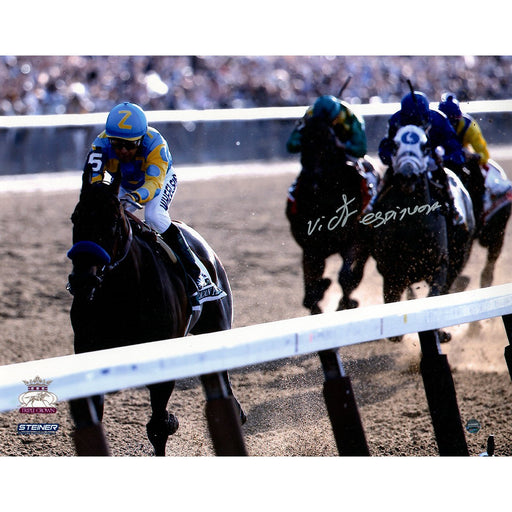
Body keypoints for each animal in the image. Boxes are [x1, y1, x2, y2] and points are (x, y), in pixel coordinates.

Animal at [66, 171, 246, 456]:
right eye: (75, 218)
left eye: (113, 220)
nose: (83, 280)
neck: (122, 294)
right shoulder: (88, 350)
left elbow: (159, 426)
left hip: (216, 324)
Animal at [286, 115, 378, 314]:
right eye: (303, 145)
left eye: (328, 147)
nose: (311, 182)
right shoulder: (311, 247)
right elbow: (310, 290)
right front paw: (320, 291)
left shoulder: (354, 240)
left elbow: (345, 276)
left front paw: (345, 302)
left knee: (356, 273)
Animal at [366, 123, 474, 340]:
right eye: (395, 145)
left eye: (426, 146)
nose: (408, 175)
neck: (411, 227)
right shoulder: (390, 269)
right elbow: (391, 296)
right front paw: (395, 334)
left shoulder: (440, 265)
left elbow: (435, 295)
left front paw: (438, 333)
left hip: (459, 258)